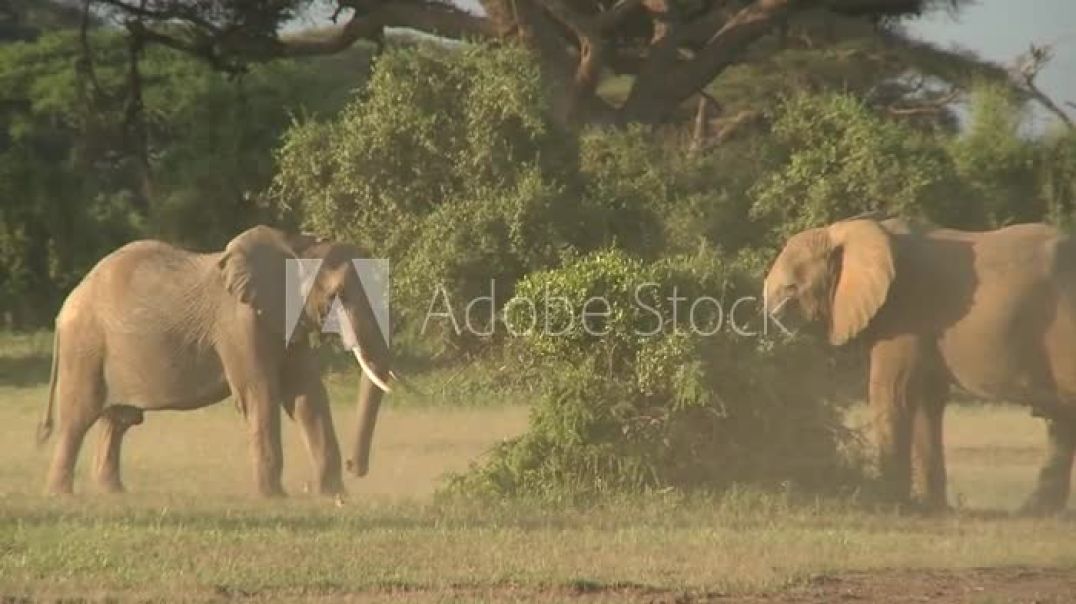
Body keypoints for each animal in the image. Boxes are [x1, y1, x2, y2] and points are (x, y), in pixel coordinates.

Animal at [36, 223, 395, 497]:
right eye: (337, 295)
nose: (355, 467)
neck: (298, 246)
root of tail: (66, 306)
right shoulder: (239, 322)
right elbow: (260, 393)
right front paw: (274, 498)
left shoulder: (284, 320)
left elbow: (307, 396)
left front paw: (333, 496)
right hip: (85, 346)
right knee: (79, 417)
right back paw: (61, 495)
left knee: (118, 420)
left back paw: (114, 493)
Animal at [766, 218, 1076, 510]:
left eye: (792, 288)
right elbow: (928, 401)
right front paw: (932, 507)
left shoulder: (905, 312)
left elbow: (892, 393)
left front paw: (889, 503)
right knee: (1062, 420)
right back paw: (1035, 511)